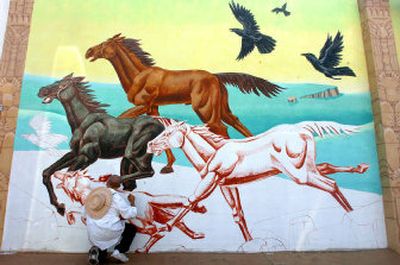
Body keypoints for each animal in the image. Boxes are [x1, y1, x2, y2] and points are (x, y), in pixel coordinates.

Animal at [37, 73, 162, 213]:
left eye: (63, 84)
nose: (41, 90)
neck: (83, 121)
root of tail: (161, 126)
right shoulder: (75, 153)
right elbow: (47, 172)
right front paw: (59, 206)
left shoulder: (87, 157)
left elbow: (67, 178)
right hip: (130, 160)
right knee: (133, 182)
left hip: (133, 153)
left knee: (148, 172)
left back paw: (113, 182)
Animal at [147, 118, 368, 240]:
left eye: (168, 133)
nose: (149, 145)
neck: (213, 153)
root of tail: (302, 129)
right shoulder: (227, 186)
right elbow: (238, 214)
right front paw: (249, 242)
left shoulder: (211, 180)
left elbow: (191, 200)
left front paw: (163, 229)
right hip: (304, 168)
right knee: (327, 169)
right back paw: (360, 169)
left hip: (300, 174)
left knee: (330, 185)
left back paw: (353, 215)